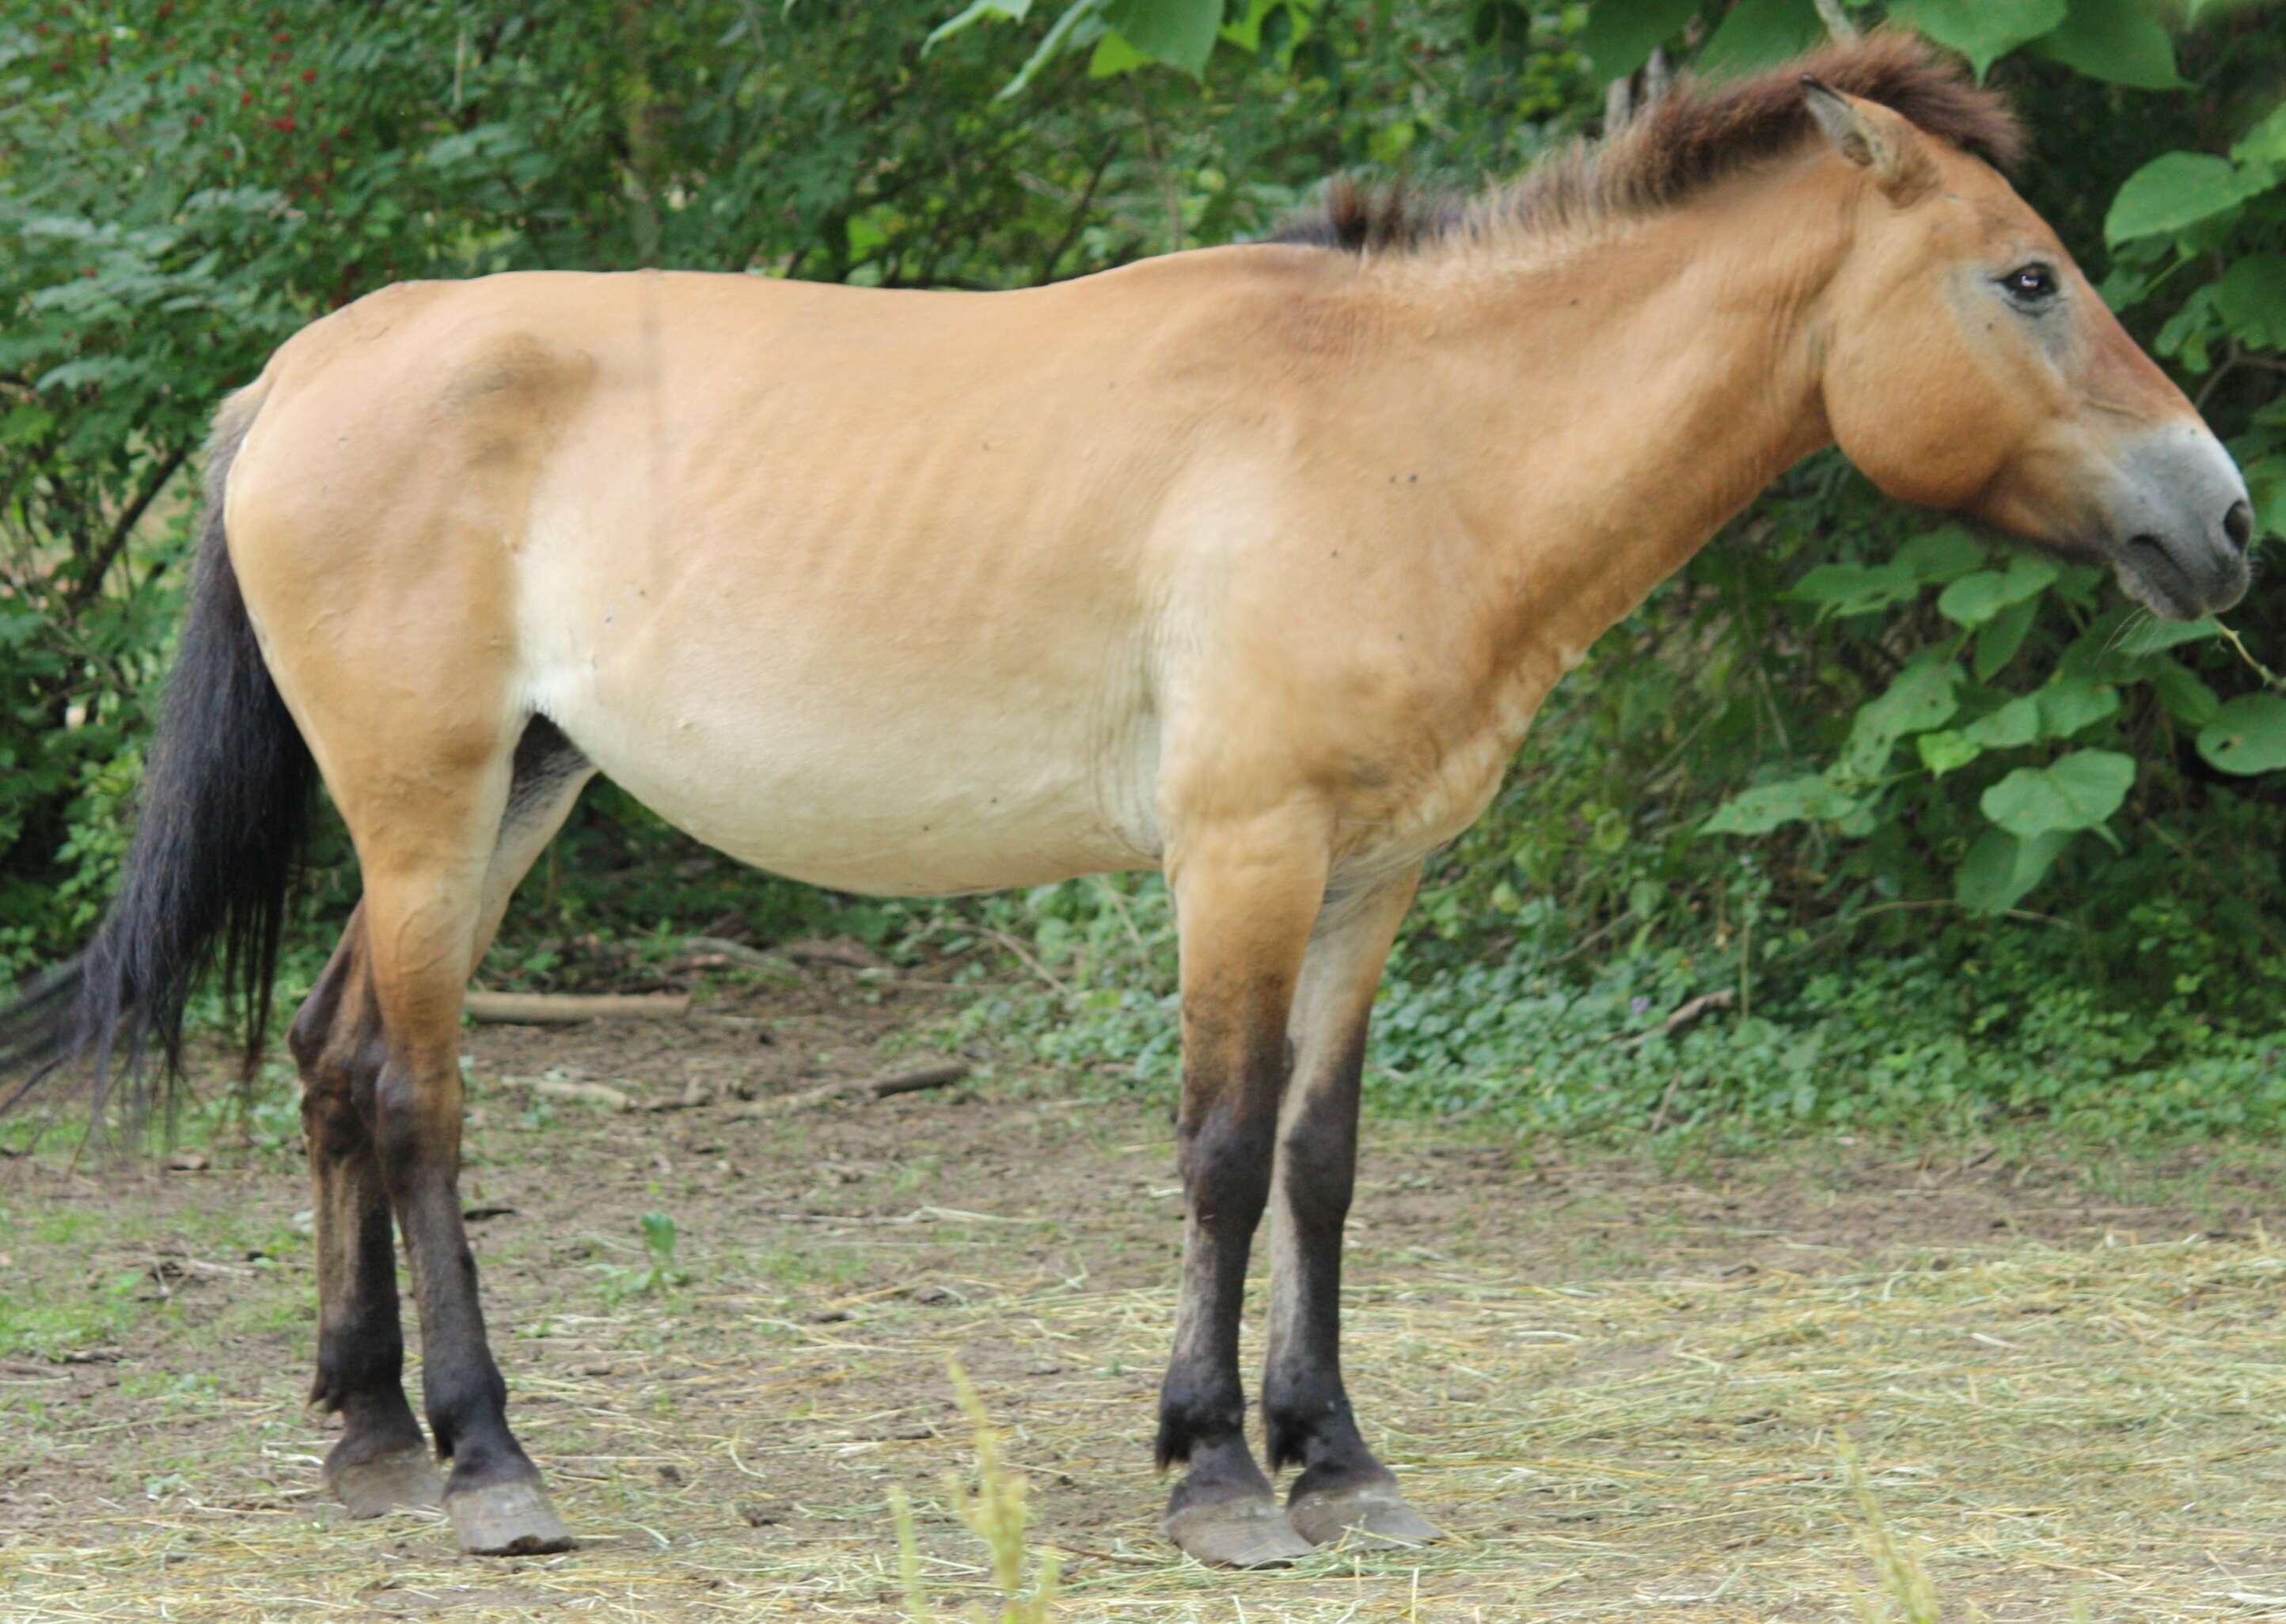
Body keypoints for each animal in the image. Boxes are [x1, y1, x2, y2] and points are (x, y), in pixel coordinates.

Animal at [0, 35, 2249, 1562]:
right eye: (2029, 281)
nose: (2222, 524)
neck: (1413, 435)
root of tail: (306, 369)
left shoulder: (1374, 875)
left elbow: (1323, 1161)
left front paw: (1336, 1460)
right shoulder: (1242, 855)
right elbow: (1222, 1151)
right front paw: (1214, 1474)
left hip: (511, 805)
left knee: (329, 1058)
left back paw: (368, 1436)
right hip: (425, 800)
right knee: (414, 1096)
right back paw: (486, 1460)